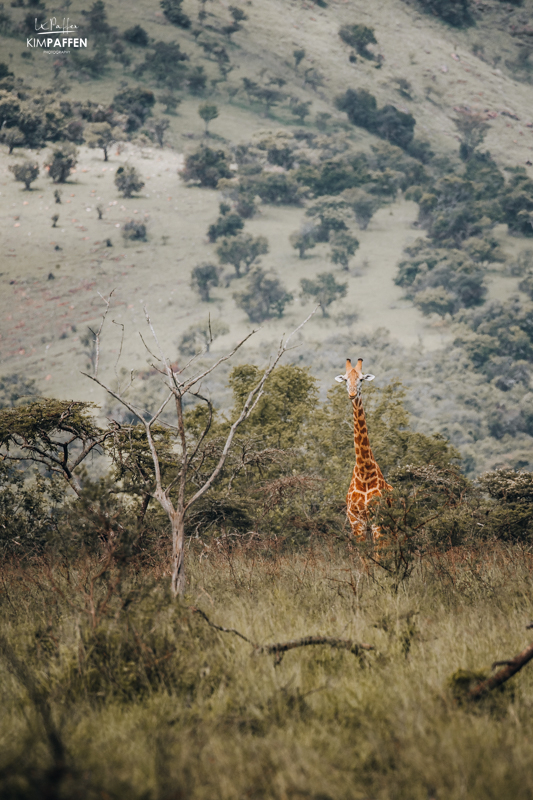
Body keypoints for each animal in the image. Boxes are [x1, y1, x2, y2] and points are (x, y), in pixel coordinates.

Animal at [336, 358, 390, 540]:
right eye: (345, 379)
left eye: (361, 379)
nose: (352, 394)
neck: (364, 472)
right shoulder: (356, 523)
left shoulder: (378, 522)